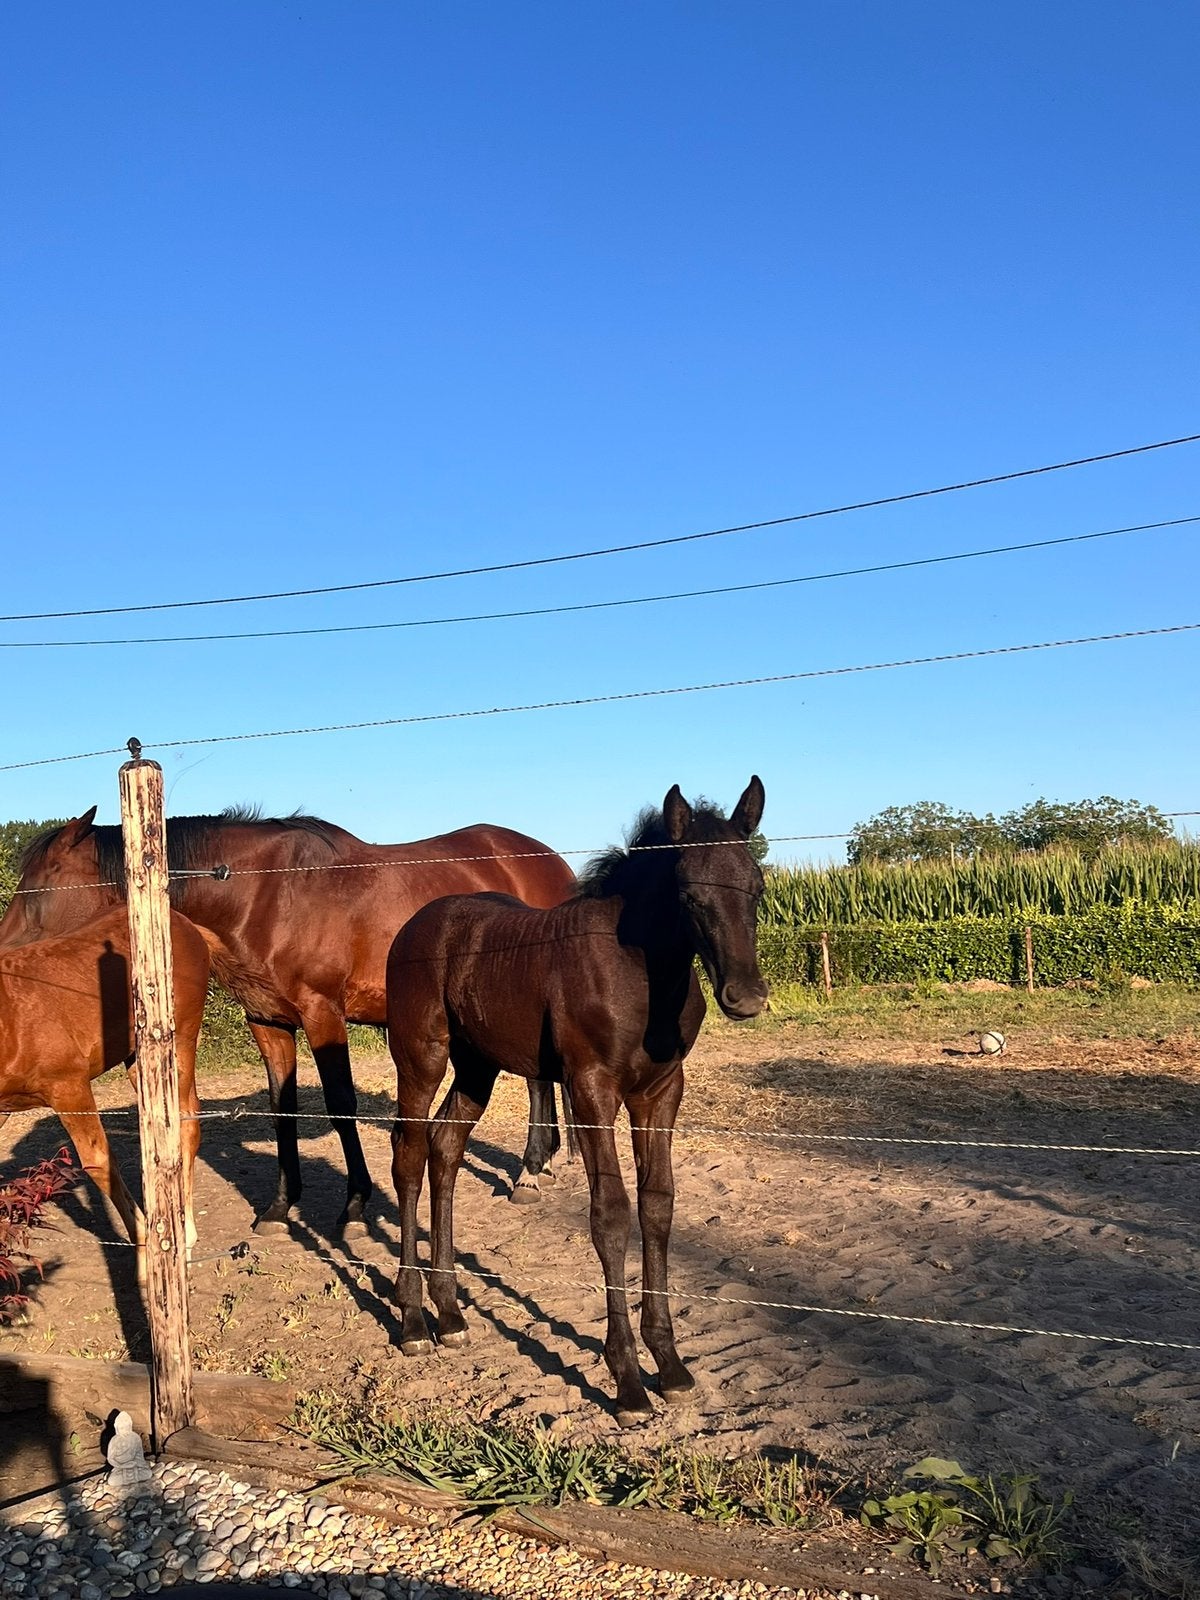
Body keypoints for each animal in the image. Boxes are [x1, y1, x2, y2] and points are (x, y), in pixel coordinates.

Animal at [0, 907, 210, 1266]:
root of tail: (187, 924)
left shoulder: (69, 1087)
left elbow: (98, 1161)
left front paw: (146, 1251)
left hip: (180, 1042)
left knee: (186, 1125)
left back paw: (184, 1235)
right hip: (139, 1062)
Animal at [385, 777, 767, 1425]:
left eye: (759, 887)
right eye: (689, 893)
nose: (746, 997)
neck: (639, 973)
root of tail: (414, 925)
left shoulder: (661, 1092)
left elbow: (658, 1206)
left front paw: (670, 1366)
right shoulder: (591, 1088)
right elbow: (610, 1214)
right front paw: (629, 1382)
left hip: (477, 1067)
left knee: (446, 1148)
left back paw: (451, 1313)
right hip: (421, 1058)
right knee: (409, 1156)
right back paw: (412, 1321)